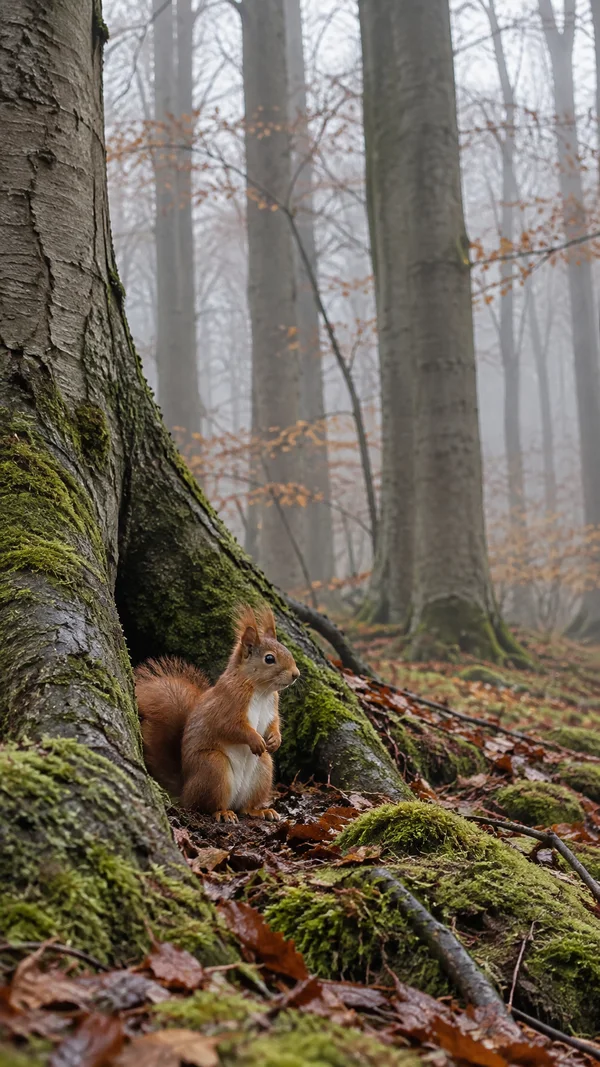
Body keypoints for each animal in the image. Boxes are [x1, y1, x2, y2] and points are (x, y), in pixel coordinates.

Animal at [134, 603, 300, 823]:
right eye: (269, 658)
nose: (296, 674)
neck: (261, 690)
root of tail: (185, 791)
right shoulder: (227, 705)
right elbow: (231, 727)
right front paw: (255, 739)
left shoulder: (272, 708)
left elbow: (274, 724)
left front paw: (275, 739)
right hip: (213, 767)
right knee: (205, 805)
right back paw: (223, 812)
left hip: (263, 768)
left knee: (245, 807)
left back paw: (260, 810)